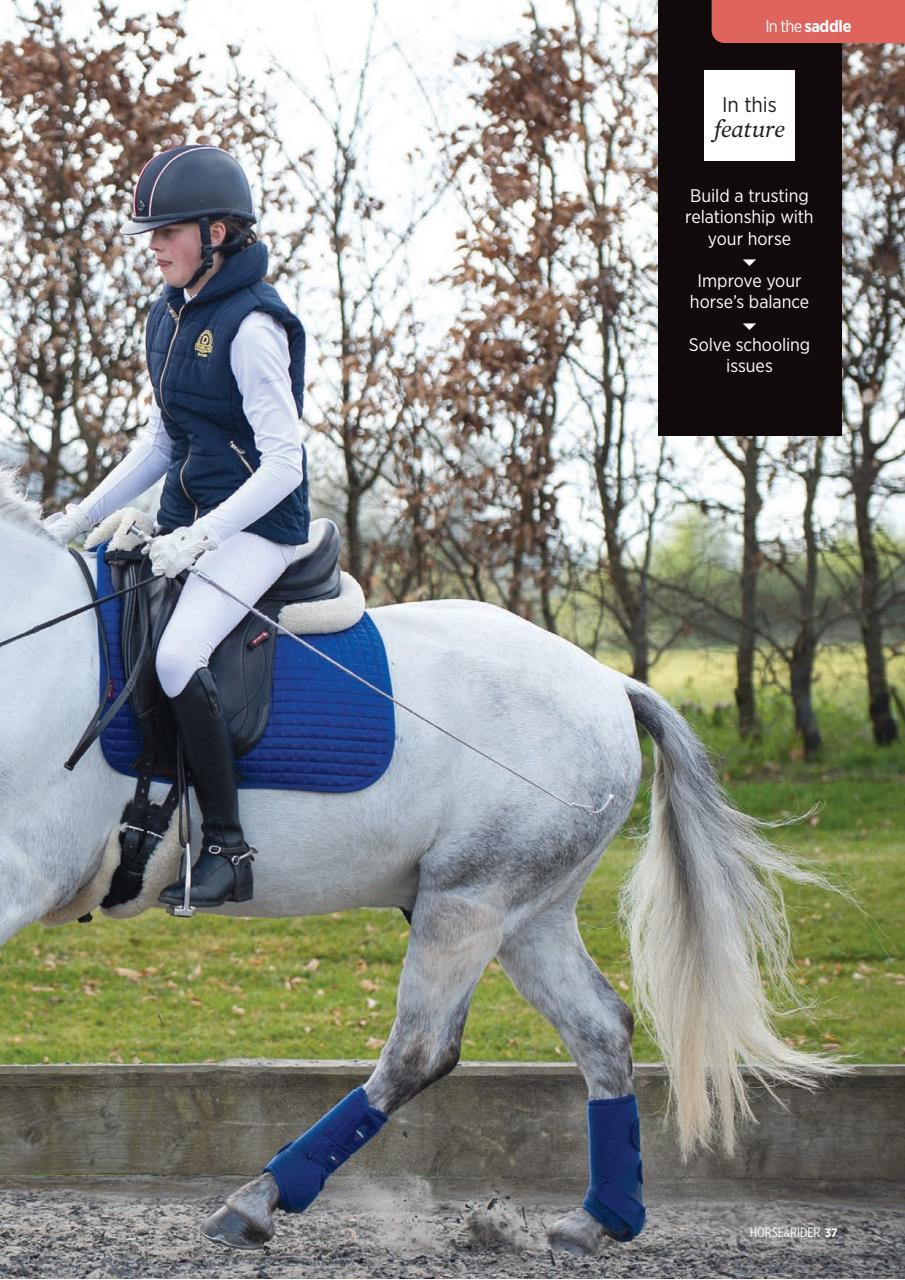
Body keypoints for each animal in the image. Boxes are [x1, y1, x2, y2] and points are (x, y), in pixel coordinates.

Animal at [0, 467, 841, 1256]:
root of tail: (608, 683)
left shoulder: (19, 877)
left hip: (467, 902)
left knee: (419, 1050)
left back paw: (258, 1200)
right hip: (527, 915)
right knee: (599, 1028)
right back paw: (598, 1218)